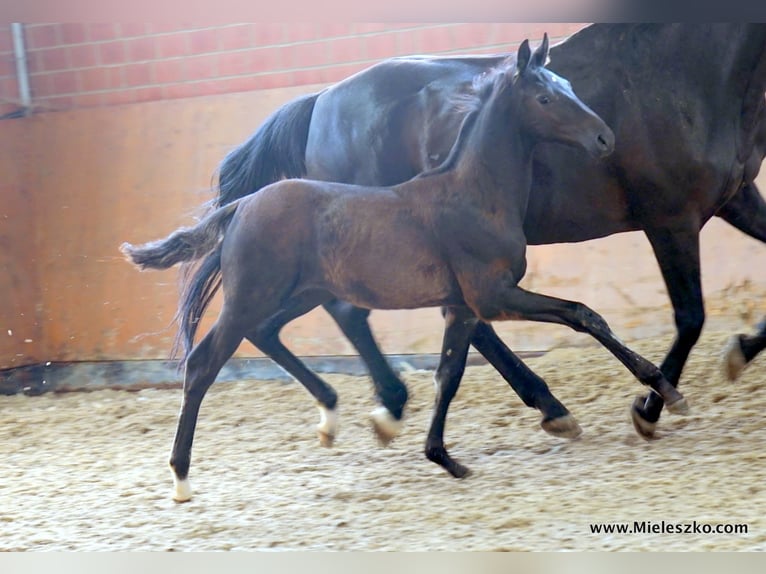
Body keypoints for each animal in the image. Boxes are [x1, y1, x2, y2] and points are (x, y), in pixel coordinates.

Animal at [184, 23, 766, 440]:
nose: (605, 138)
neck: (685, 72)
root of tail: (320, 101)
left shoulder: (736, 200)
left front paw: (737, 353)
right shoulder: (671, 218)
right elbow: (690, 316)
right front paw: (652, 405)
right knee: (361, 311)